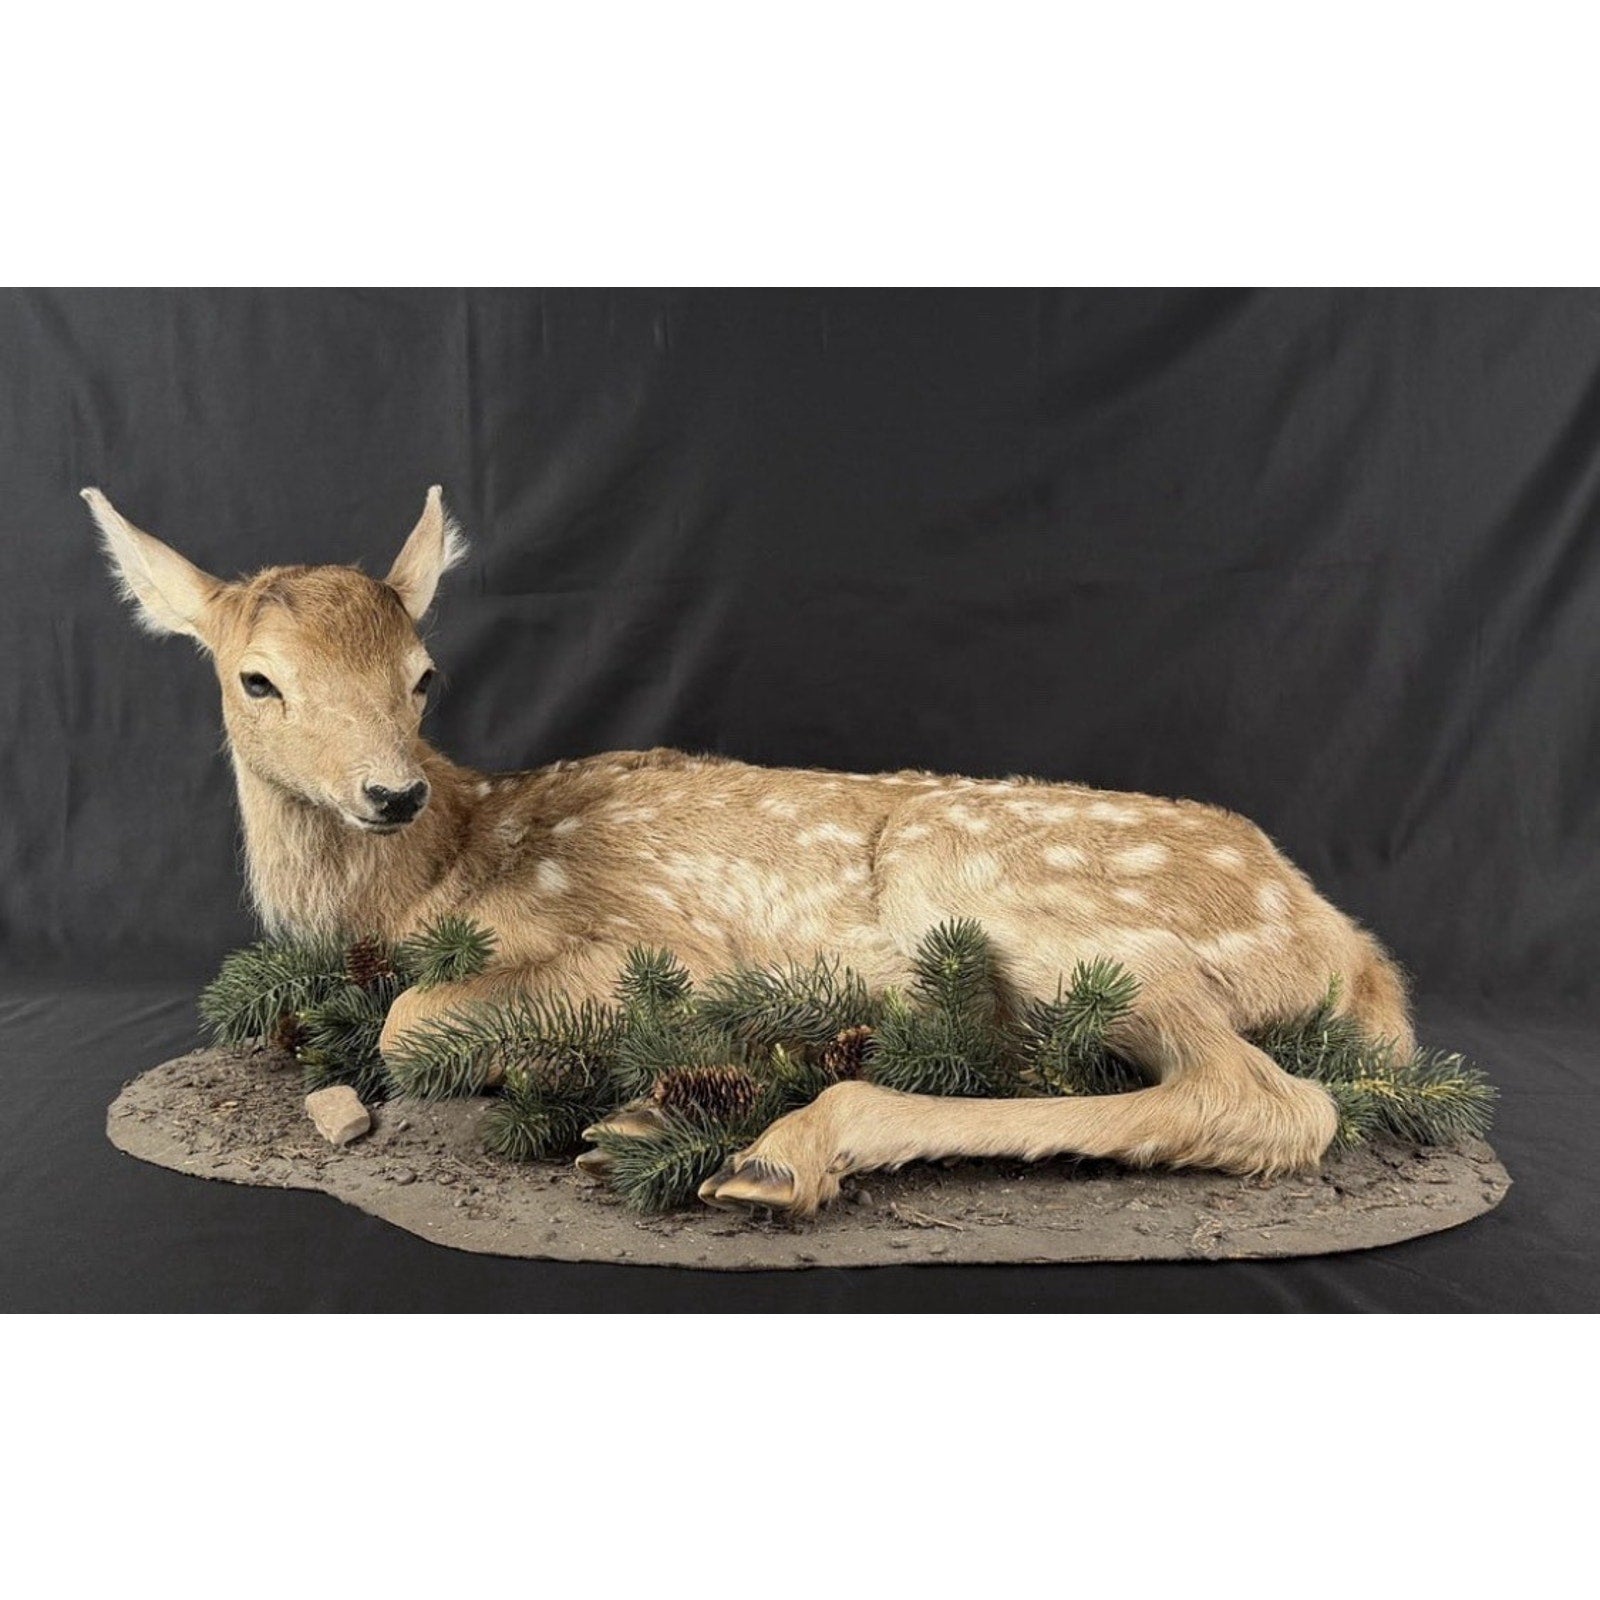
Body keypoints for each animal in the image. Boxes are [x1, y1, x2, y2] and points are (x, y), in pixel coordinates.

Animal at [86, 485, 1416, 1216]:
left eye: (423, 675)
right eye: (257, 680)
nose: (390, 792)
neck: (436, 876)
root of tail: (1341, 943)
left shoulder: (650, 932)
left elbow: (414, 1026)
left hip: (1007, 885)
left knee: (1266, 1100)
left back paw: (774, 1148)